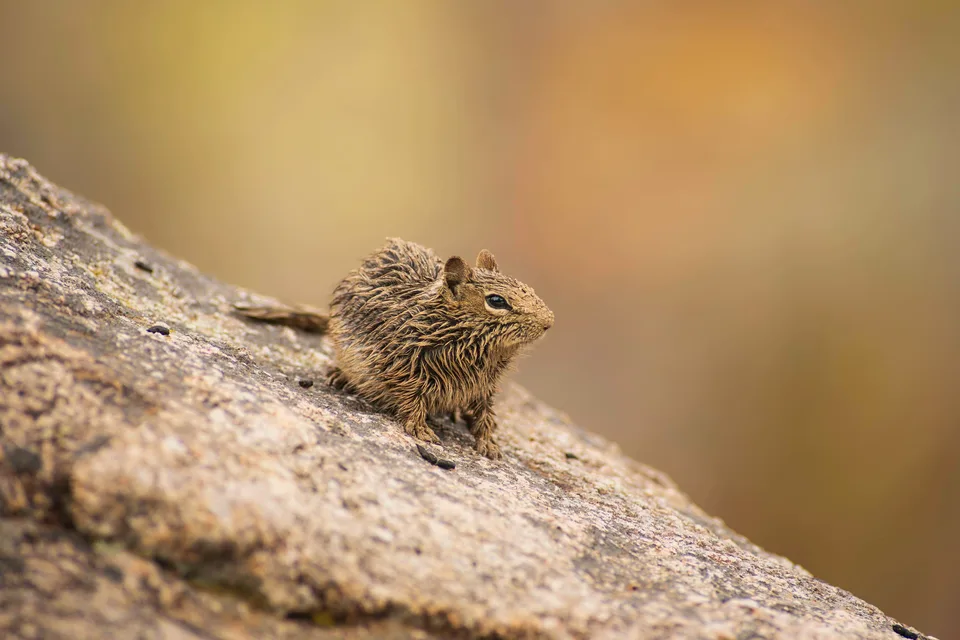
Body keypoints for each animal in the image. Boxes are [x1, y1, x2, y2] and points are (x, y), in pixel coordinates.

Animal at [236, 238, 554, 459]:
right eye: (496, 301)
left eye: (527, 288)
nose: (550, 321)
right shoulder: (404, 370)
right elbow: (413, 402)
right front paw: (422, 431)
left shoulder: (484, 387)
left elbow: (485, 416)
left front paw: (489, 445)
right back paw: (340, 376)